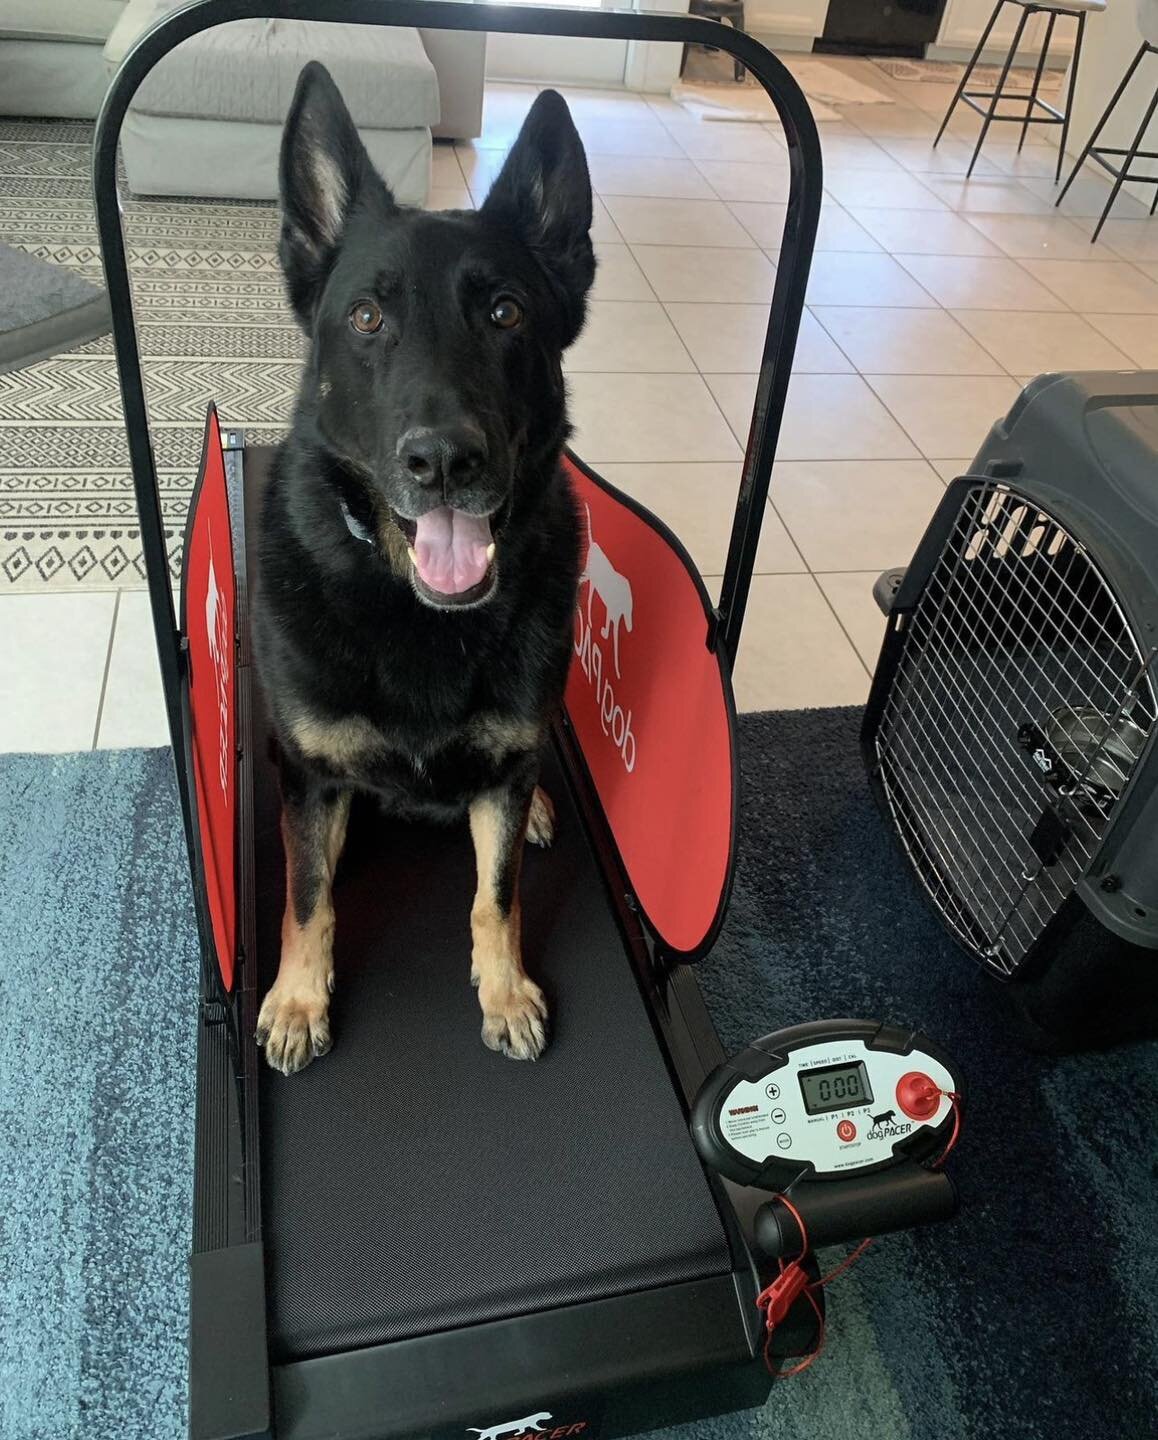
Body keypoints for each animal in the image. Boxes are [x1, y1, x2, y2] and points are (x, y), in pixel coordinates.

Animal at [254, 70, 596, 1082]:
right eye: (368, 317)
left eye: (506, 313)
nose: (443, 461)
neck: (417, 611)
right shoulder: (308, 779)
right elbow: (307, 896)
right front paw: (298, 998)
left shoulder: (505, 762)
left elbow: (497, 894)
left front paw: (505, 988)